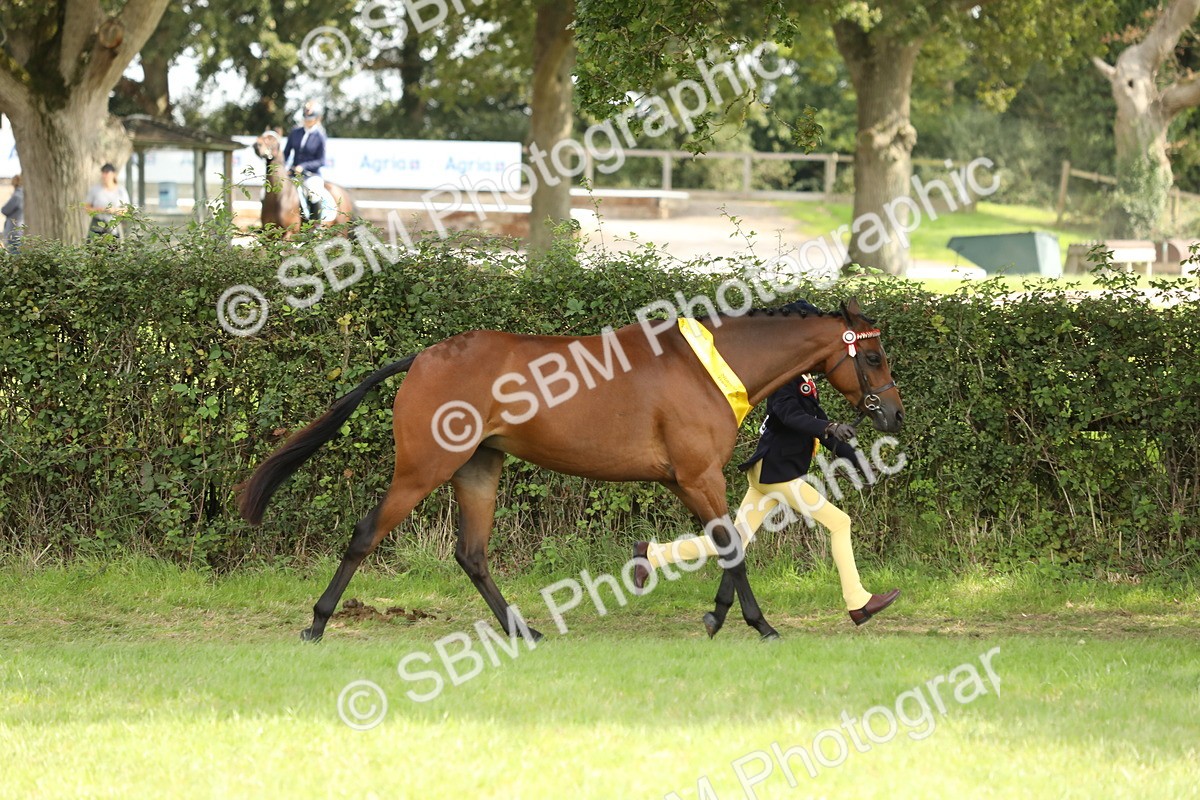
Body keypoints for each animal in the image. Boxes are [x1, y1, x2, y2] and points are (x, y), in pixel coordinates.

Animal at [238, 297, 904, 642]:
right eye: (873, 356)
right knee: (365, 534)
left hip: (479, 470)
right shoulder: (698, 478)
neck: (713, 366)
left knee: (471, 554)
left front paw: (720, 617)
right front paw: (759, 624)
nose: (894, 413)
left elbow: (730, 543)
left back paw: (522, 630)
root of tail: (424, 357)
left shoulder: (695, 482)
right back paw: (318, 623)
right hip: (423, 469)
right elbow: (733, 547)